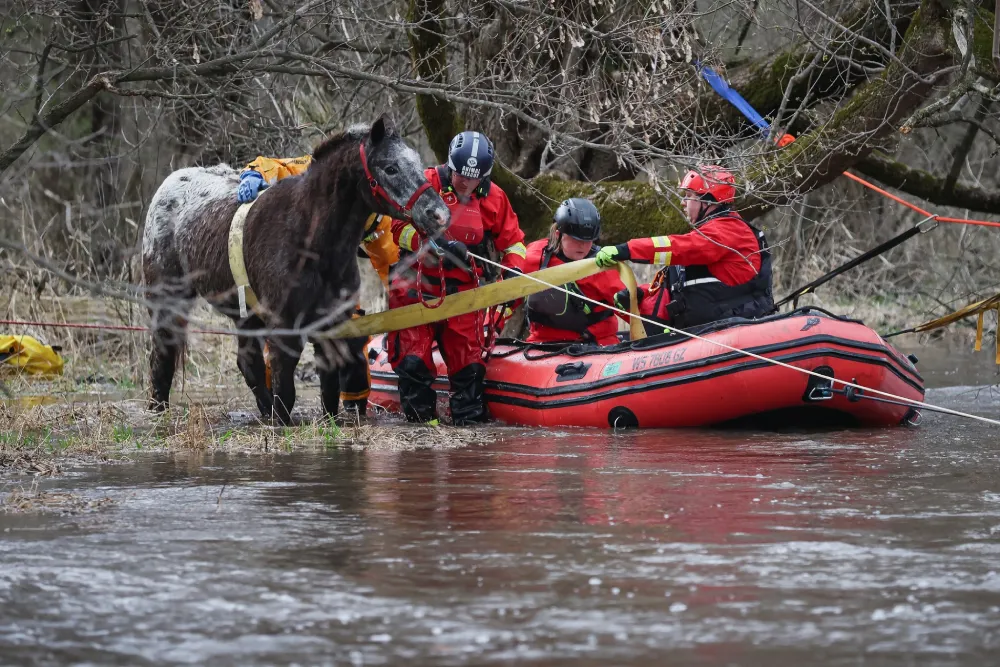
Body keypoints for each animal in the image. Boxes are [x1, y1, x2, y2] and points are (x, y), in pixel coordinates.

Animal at [141, 115, 449, 424]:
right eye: (390, 167)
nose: (439, 214)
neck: (309, 238)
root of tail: (168, 185)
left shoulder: (332, 324)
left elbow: (329, 390)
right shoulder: (284, 327)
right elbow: (286, 390)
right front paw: (281, 422)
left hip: (245, 316)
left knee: (248, 362)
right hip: (168, 300)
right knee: (162, 354)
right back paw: (158, 409)